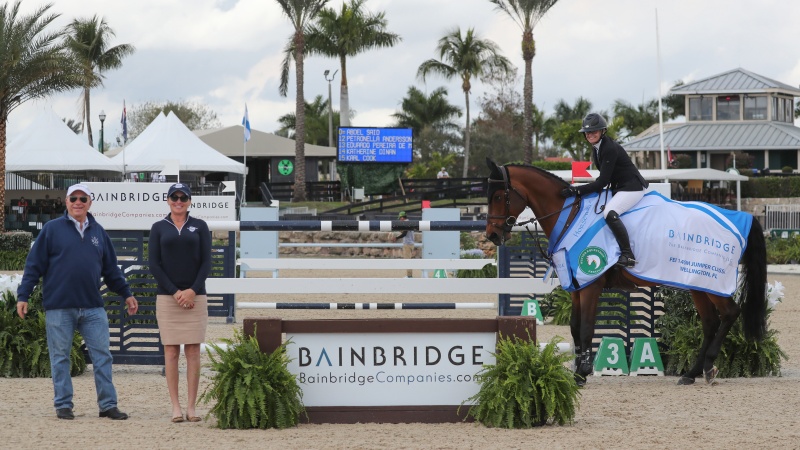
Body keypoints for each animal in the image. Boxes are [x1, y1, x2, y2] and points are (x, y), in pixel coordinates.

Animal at [484, 159, 764, 386]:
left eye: (498, 196)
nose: (492, 235)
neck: (569, 215)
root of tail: (743, 217)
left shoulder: (590, 284)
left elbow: (586, 328)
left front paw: (583, 372)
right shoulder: (576, 286)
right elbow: (574, 328)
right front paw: (578, 371)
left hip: (713, 283)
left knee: (730, 313)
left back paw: (707, 367)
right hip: (698, 284)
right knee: (710, 323)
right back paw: (691, 373)